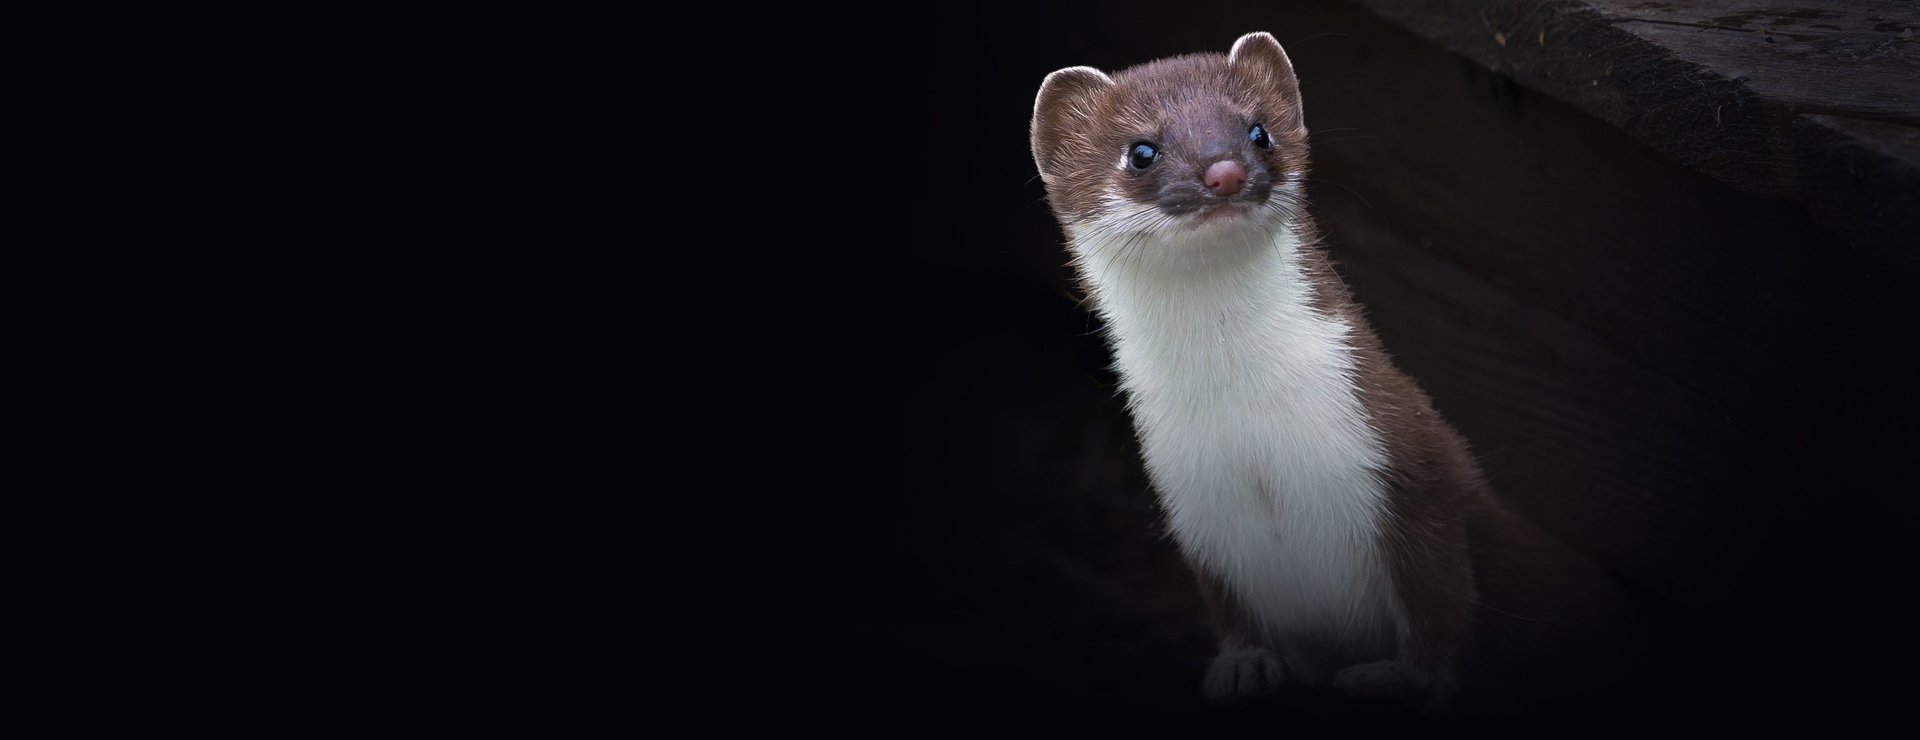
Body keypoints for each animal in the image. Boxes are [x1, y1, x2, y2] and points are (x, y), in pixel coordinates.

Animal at [1029, 33, 1643, 707]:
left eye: (1259, 131)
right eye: (1141, 150)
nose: (1224, 171)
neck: (1251, 436)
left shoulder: (1402, 452)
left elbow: (1441, 594)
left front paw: (1399, 676)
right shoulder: (1192, 504)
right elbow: (1231, 608)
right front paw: (1242, 666)